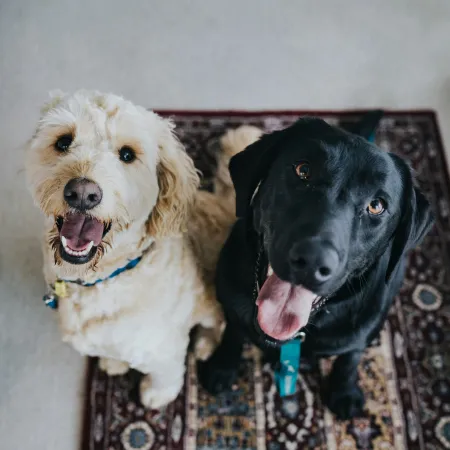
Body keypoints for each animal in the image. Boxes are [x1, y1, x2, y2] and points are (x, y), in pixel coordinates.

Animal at [25, 90, 264, 408]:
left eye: (127, 154)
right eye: (63, 141)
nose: (83, 193)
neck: (103, 278)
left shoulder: (164, 347)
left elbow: (165, 374)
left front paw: (156, 395)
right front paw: (114, 363)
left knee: (217, 323)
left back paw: (204, 344)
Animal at [200, 114, 432, 420]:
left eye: (377, 205)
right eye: (303, 170)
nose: (312, 261)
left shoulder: (360, 331)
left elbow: (350, 357)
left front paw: (344, 391)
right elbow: (233, 331)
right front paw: (222, 365)